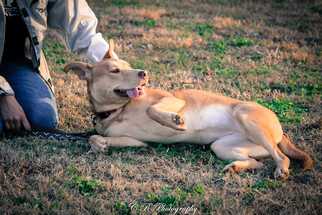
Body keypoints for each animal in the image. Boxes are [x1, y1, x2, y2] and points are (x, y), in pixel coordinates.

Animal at [64, 40, 314, 180]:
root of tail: (280, 131)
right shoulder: (137, 142)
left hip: (246, 119)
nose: (144, 73)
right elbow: (95, 138)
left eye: (129, 66)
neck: (118, 110)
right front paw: (101, 145)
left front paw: (175, 121)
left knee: (281, 157)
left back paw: (281, 170)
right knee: (258, 162)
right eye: (115, 70)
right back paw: (235, 168)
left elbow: (153, 110)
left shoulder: (171, 99)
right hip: (223, 147)